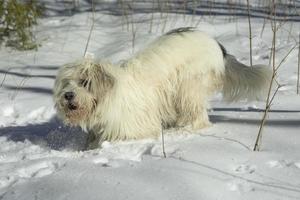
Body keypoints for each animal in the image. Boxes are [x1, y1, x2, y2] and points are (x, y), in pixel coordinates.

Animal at [54, 27, 272, 148]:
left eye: (85, 82)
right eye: (67, 83)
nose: (68, 95)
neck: (109, 97)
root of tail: (216, 43)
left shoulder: (134, 127)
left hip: (188, 86)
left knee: (198, 118)